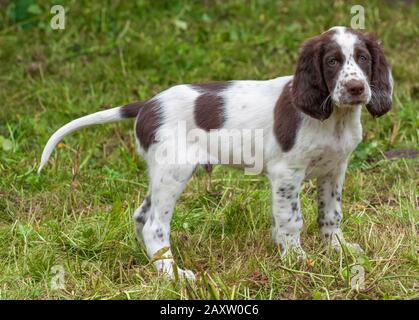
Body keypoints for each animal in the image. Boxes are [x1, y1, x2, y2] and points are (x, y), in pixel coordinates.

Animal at [38, 26, 394, 278]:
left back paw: (156, 266)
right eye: (332, 61)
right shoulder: (286, 173)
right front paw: (296, 259)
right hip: (174, 170)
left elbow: (331, 215)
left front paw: (338, 250)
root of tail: (147, 105)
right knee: (154, 224)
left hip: (160, 171)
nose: (356, 88)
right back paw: (173, 275)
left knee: (141, 216)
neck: (335, 117)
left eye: (363, 58)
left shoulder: (335, 169)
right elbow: (290, 219)